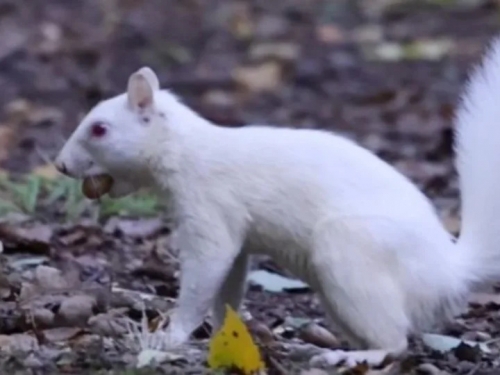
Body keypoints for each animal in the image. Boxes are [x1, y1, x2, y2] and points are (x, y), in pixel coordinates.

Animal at [55, 35, 500, 370]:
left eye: (99, 129)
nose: (60, 164)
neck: (186, 151)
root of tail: (448, 274)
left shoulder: (210, 211)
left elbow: (205, 273)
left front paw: (170, 336)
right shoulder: (234, 238)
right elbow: (228, 288)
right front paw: (223, 336)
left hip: (350, 252)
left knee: (395, 340)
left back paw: (350, 356)